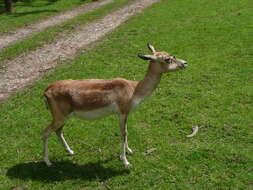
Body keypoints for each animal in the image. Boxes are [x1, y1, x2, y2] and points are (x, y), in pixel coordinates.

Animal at [42, 44, 188, 168]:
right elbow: (123, 134)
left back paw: (71, 151)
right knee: (45, 132)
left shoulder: (124, 114)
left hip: (65, 117)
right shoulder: (122, 112)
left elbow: (125, 132)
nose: (185, 63)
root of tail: (46, 91)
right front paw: (126, 162)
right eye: (167, 59)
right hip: (60, 116)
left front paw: (129, 151)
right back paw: (48, 162)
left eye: (171, 54)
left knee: (58, 131)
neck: (134, 89)